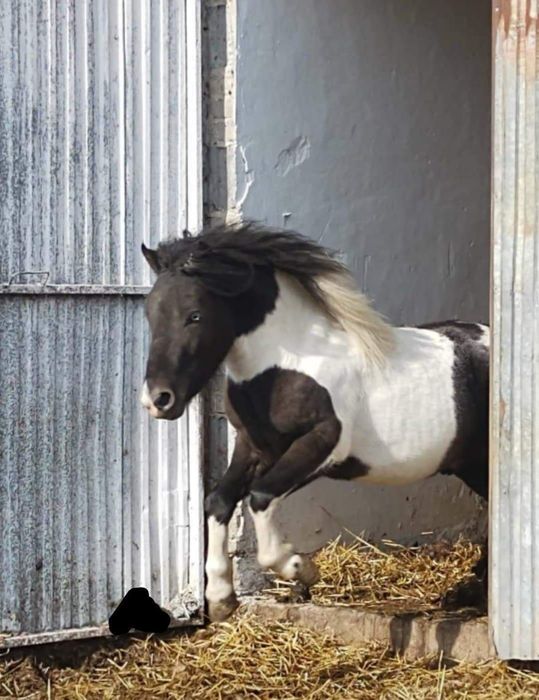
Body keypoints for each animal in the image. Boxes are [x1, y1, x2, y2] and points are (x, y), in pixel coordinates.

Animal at [139, 223, 490, 616]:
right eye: (150, 313)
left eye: (195, 314)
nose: (157, 400)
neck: (288, 363)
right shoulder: (253, 445)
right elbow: (217, 501)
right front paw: (220, 597)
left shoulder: (323, 444)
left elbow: (260, 496)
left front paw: (299, 568)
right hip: (472, 465)